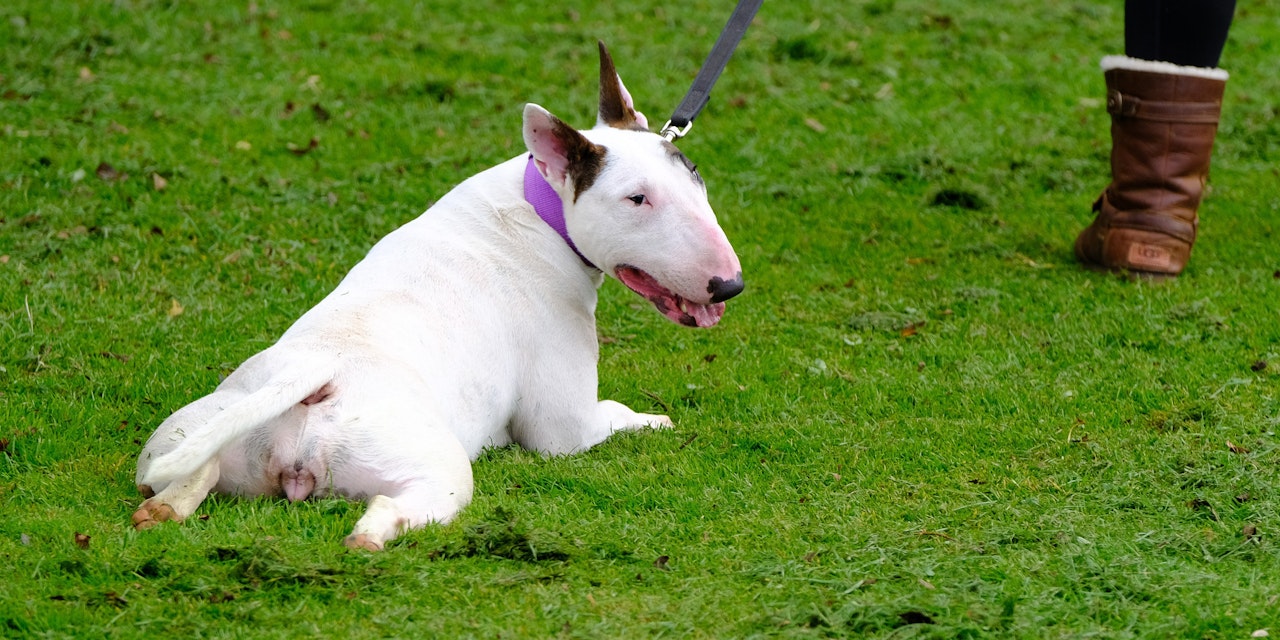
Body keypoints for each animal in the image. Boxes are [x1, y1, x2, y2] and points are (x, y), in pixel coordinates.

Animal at [132, 42, 742, 550]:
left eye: (695, 175)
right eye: (636, 199)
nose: (730, 284)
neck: (541, 211)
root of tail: (315, 377)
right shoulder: (565, 429)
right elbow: (611, 416)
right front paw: (654, 420)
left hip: (181, 435)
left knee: (192, 470)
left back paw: (165, 509)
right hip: (426, 459)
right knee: (404, 502)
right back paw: (372, 535)